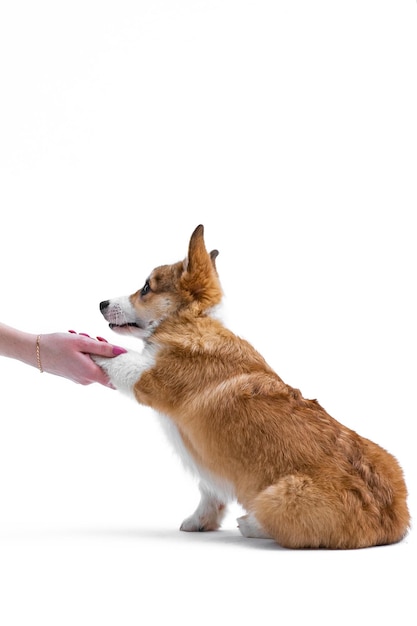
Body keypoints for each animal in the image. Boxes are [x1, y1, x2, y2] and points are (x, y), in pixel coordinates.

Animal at [92, 224, 408, 544]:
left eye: (146, 288)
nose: (102, 303)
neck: (192, 320)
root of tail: (390, 520)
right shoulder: (210, 466)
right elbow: (209, 491)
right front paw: (200, 521)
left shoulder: (147, 377)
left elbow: (116, 357)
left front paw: (87, 346)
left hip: (278, 496)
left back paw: (251, 525)